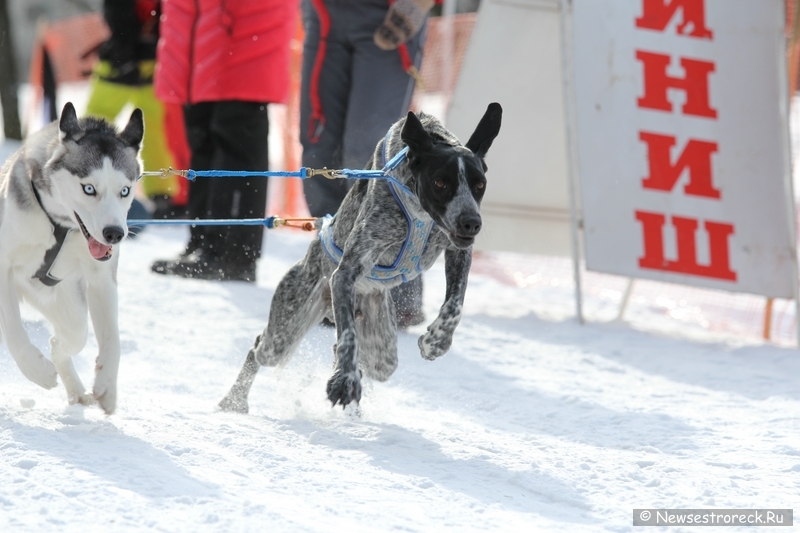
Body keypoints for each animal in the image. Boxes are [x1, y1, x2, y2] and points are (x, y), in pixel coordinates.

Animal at [0, 102, 142, 414]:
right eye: (89, 188)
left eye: (125, 190)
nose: (114, 233)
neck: (59, 224)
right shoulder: (3, 265)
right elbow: (14, 329)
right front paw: (35, 369)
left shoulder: (102, 278)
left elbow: (110, 339)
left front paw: (106, 384)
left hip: (64, 300)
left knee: (73, 332)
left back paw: (74, 386)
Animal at [219, 104, 500, 412]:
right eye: (440, 182)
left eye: (480, 184)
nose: (471, 223)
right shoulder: (345, 274)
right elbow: (347, 337)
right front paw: (347, 381)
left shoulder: (458, 250)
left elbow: (455, 304)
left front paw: (437, 340)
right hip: (286, 328)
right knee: (261, 348)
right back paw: (235, 398)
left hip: (381, 348)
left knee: (372, 359)